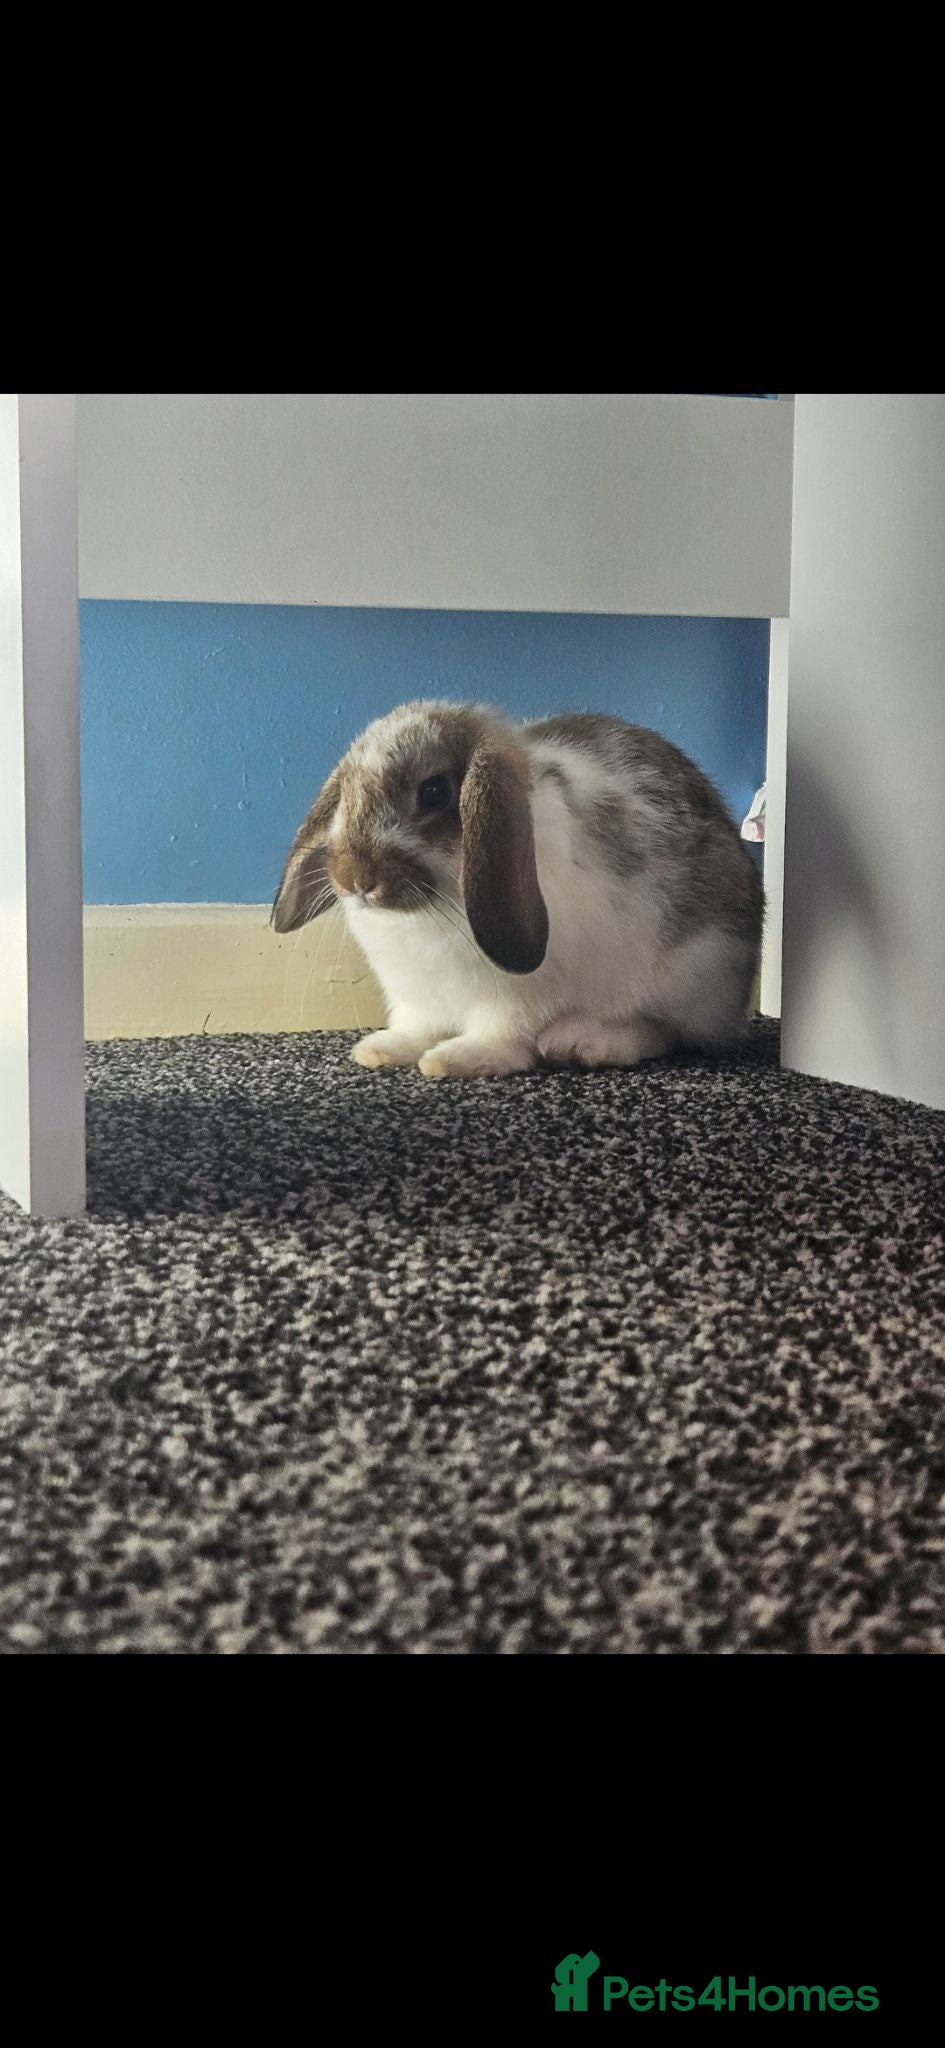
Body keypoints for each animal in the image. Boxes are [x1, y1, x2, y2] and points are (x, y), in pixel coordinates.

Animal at [271, 700, 764, 1080]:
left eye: (434, 791)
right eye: (346, 793)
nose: (355, 879)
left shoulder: (513, 1000)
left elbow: (501, 1034)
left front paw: (457, 1060)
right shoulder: (416, 998)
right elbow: (418, 1027)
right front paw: (384, 1050)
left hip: (686, 973)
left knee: (665, 1030)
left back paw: (584, 1042)